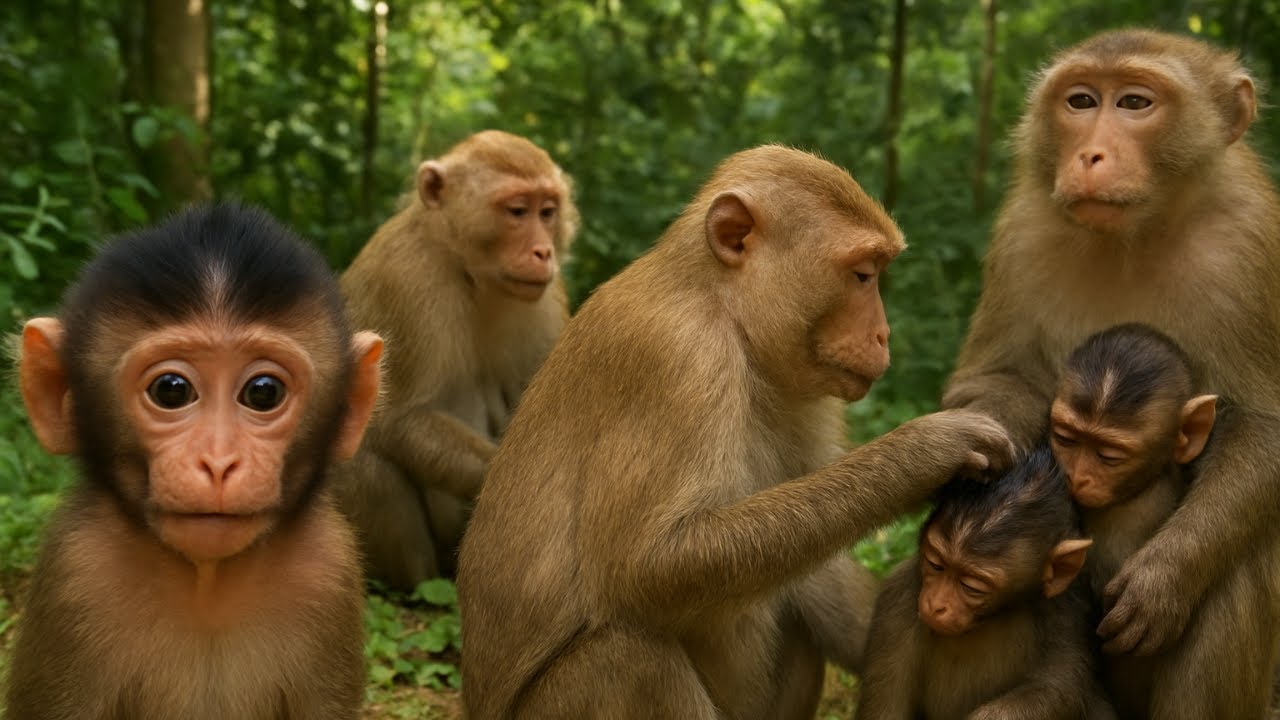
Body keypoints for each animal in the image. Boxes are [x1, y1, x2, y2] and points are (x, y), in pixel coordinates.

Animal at [5, 203, 382, 720]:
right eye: (171, 390)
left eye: (263, 392)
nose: (219, 463)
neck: (208, 587)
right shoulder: (76, 573)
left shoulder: (330, 569)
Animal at [334, 129, 577, 590]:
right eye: (517, 211)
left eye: (547, 211)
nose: (543, 252)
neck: (466, 267)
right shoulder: (408, 280)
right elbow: (402, 418)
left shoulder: (548, 298)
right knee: (362, 457)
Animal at [455, 145, 1016, 720]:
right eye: (863, 274)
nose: (883, 336)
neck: (721, 306)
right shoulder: (680, 359)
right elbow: (649, 566)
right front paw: (926, 452)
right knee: (625, 657)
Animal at [856, 447, 1114, 720]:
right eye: (935, 565)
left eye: (972, 587)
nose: (936, 604)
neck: (991, 616)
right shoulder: (899, 597)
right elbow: (886, 709)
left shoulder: (1066, 604)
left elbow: (1060, 685)